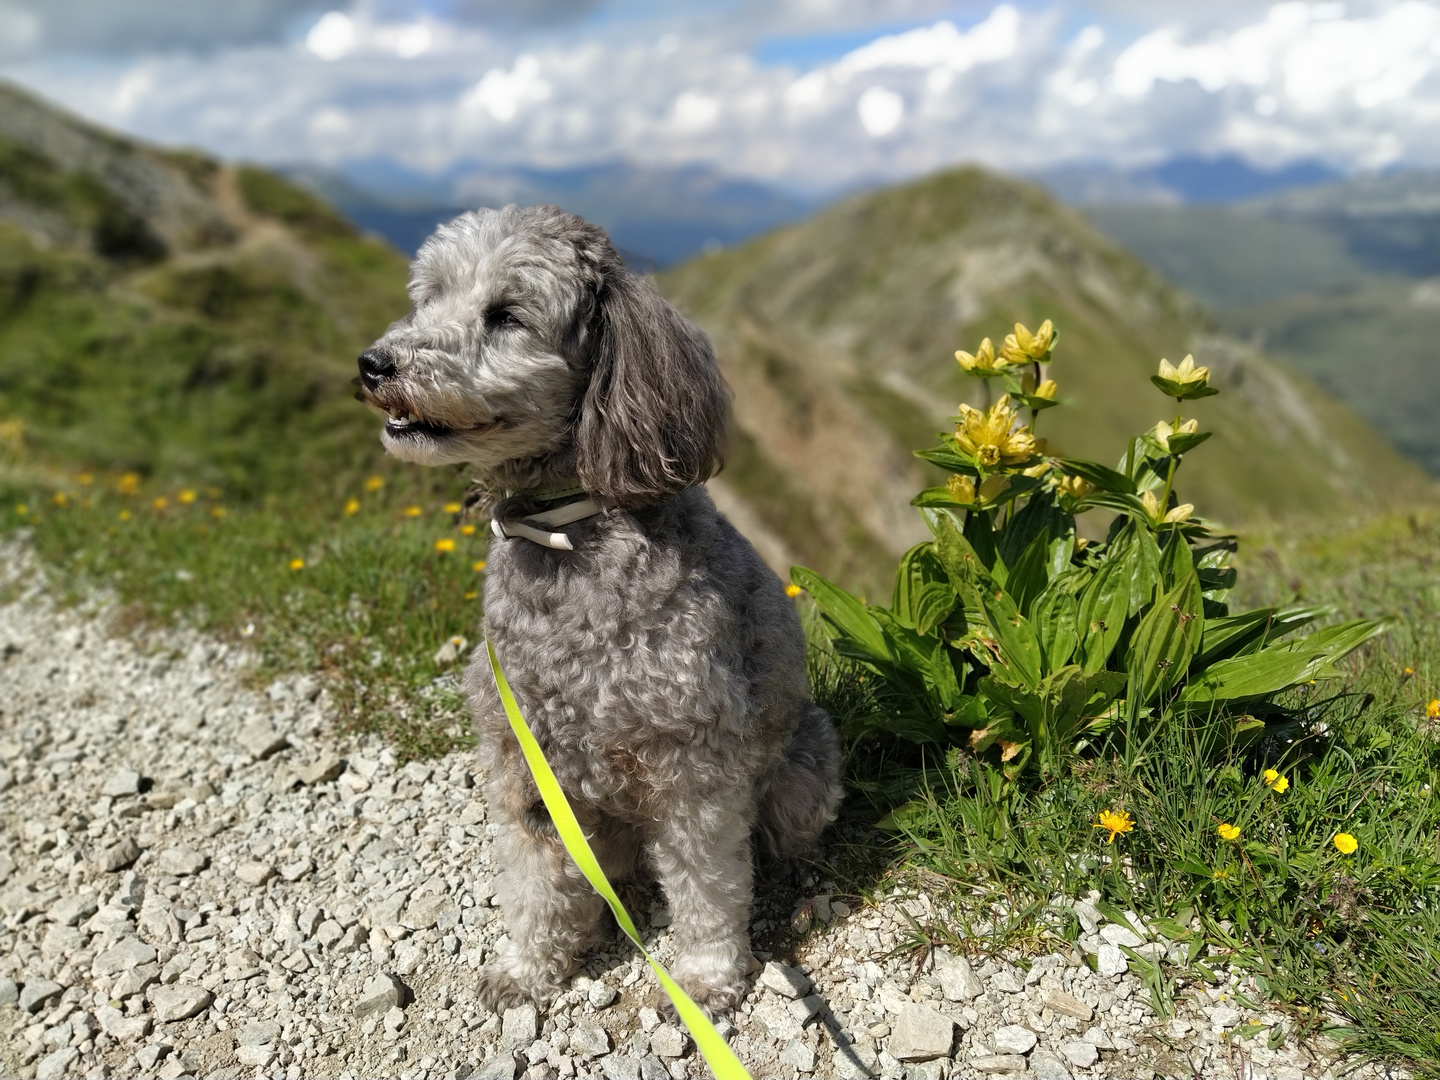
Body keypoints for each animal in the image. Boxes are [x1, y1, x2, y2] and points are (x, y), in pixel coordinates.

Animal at [352, 203, 840, 1013]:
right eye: (430, 296)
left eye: (507, 315)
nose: (374, 364)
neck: (565, 535)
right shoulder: (524, 769)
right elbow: (534, 883)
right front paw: (529, 967)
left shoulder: (693, 767)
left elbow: (708, 884)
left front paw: (705, 976)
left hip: (801, 777)